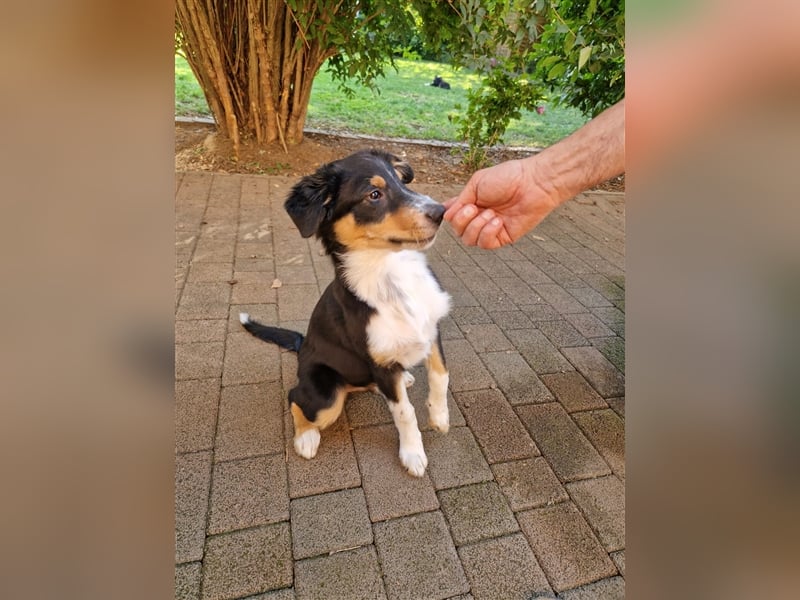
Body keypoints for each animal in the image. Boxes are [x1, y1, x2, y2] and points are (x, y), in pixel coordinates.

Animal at [238, 150, 450, 478]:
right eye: (374, 194)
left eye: (401, 182)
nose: (441, 212)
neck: (391, 274)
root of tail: (302, 345)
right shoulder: (380, 361)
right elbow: (404, 412)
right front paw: (413, 453)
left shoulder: (431, 329)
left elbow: (441, 375)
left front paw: (440, 417)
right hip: (325, 397)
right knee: (296, 398)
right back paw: (306, 439)